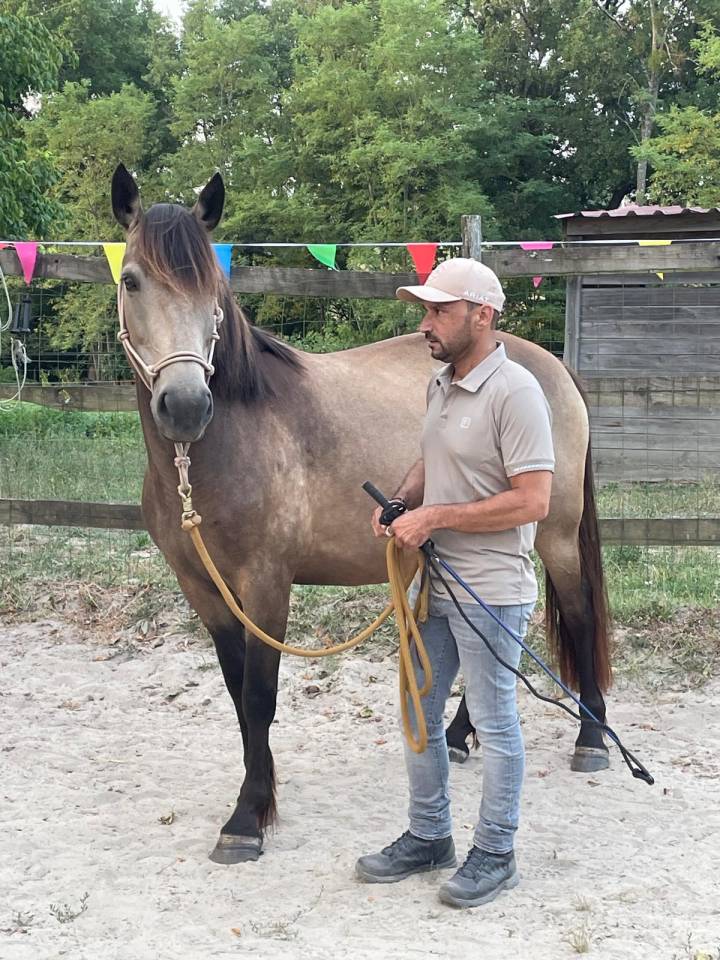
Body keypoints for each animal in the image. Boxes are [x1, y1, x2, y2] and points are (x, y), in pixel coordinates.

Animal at [110, 164, 611, 864]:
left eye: (211, 286)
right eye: (131, 280)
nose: (184, 406)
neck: (224, 445)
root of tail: (550, 366)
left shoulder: (266, 585)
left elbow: (260, 696)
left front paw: (247, 818)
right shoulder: (204, 589)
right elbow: (237, 695)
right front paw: (262, 791)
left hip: (557, 535)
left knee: (577, 611)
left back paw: (591, 738)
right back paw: (457, 734)